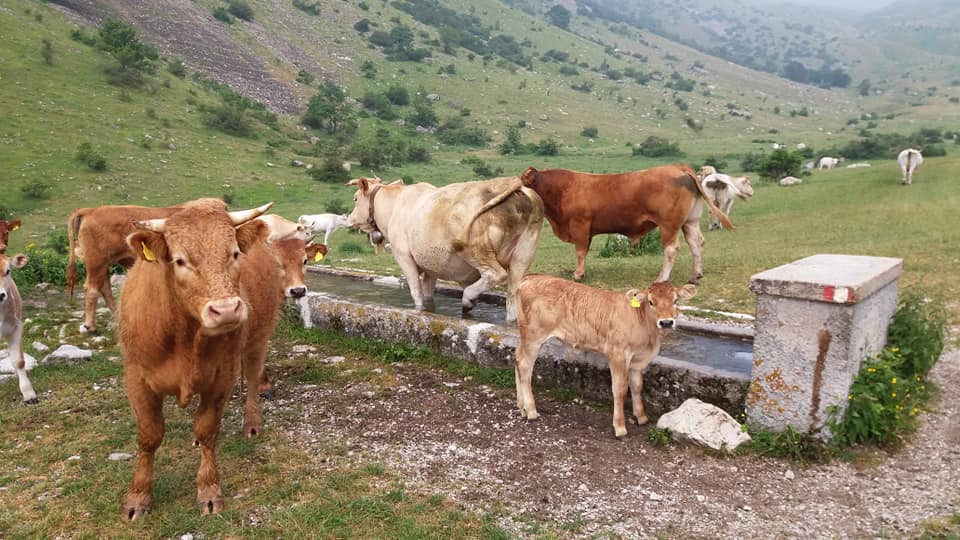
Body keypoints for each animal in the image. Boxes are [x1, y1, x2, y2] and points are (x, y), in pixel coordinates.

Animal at [67, 204, 185, 333]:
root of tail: (91, 210)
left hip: (103, 265)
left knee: (105, 289)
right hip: (96, 262)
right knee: (92, 290)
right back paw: (90, 326)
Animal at [118, 198, 284, 519]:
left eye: (234, 253)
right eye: (180, 260)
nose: (227, 310)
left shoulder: (222, 377)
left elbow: (207, 429)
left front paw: (208, 490)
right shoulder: (136, 378)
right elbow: (149, 435)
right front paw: (137, 496)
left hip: (258, 340)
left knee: (253, 379)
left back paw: (252, 423)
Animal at [347, 175, 544, 322]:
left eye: (355, 198)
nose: (349, 219)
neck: (394, 207)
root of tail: (513, 183)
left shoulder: (403, 255)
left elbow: (416, 292)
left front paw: (418, 312)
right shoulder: (430, 266)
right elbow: (428, 292)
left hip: (474, 249)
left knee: (495, 274)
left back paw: (468, 299)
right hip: (523, 255)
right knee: (512, 293)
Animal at [514, 274, 697, 437]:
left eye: (675, 301)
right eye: (651, 302)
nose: (666, 322)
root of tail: (530, 278)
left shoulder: (637, 360)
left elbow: (637, 386)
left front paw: (641, 417)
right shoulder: (618, 354)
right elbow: (620, 389)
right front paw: (620, 427)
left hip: (526, 336)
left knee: (517, 359)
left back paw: (521, 407)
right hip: (534, 336)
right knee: (524, 366)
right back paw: (531, 410)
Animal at [519, 165, 733, 284]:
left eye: (522, 182)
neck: (563, 189)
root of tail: (679, 168)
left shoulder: (580, 226)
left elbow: (580, 251)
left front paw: (578, 274)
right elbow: (584, 252)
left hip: (668, 225)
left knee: (672, 249)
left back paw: (662, 278)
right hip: (690, 221)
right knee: (696, 243)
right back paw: (696, 275)